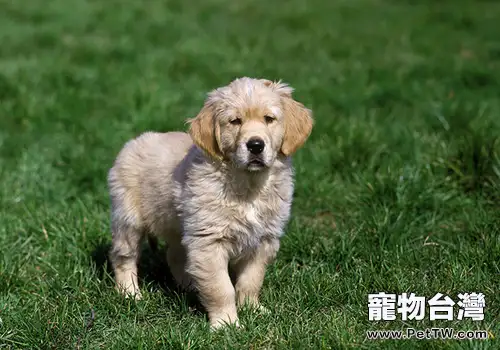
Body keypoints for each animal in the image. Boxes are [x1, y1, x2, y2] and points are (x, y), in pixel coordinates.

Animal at [108, 76, 312, 328]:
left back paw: (190, 287)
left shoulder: (264, 239)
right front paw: (227, 324)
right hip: (128, 218)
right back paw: (130, 294)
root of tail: (133, 142)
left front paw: (253, 309)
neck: (247, 185)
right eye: (235, 121)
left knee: (175, 256)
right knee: (123, 257)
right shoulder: (209, 241)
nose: (255, 145)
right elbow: (220, 287)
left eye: (269, 119)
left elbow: (251, 280)